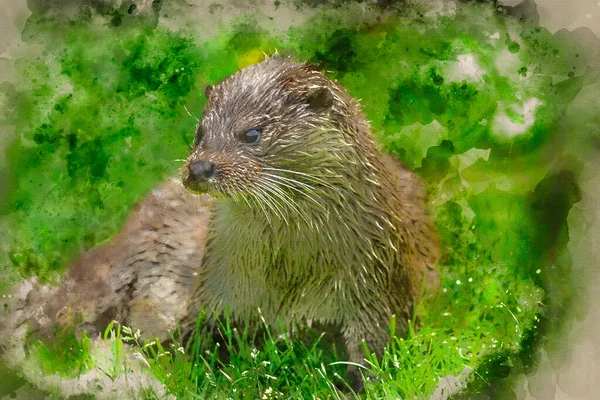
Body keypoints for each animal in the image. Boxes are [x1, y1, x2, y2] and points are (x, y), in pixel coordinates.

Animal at [5, 54, 440, 392]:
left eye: (252, 133)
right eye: (199, 132)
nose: (199, 167)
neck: (289, 276)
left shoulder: (374, 291)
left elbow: (374, 356)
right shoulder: (215, 289)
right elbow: (189, 346)